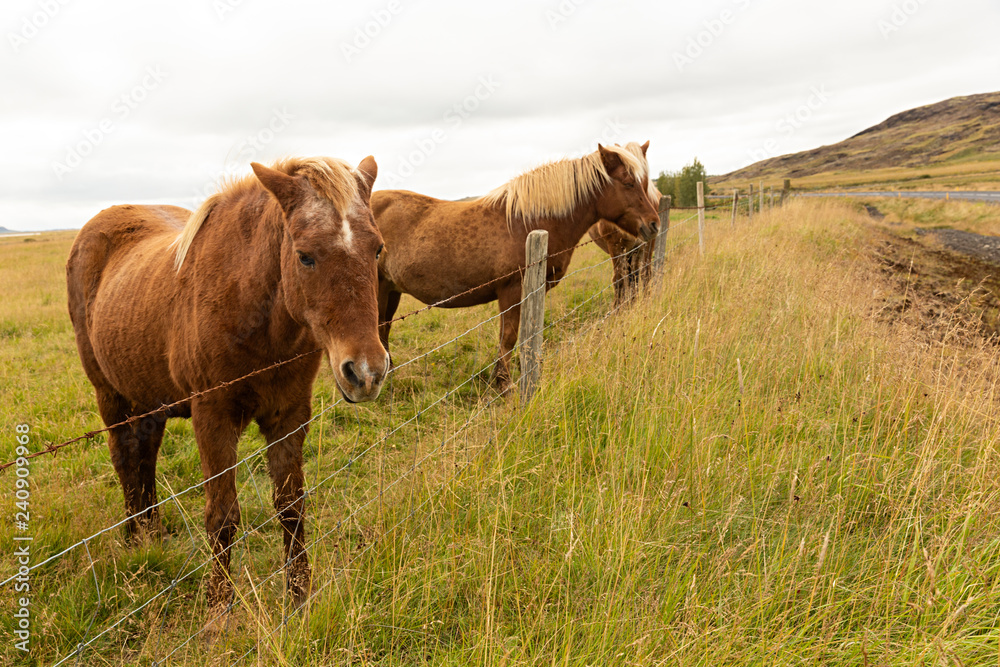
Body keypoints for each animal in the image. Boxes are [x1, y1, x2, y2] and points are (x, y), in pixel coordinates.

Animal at [66, 156, 389, 613]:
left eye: (376, 248)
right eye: (305, 256)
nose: (366, 372)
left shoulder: (289, 417)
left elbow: (291, 506)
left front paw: (299, 597)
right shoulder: (213, 420)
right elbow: (221, 517)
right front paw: (219, 607)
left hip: (150, 400)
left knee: (145, 458)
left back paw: (152, 533)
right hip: (110, 396)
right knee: (124, 459)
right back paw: (133, 538)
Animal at [373, 141, 659, 391]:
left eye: (645, 183)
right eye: (629, 183)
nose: (654, 224)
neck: (528, 222)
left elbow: (523, 334)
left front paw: (522, 370)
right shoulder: (511, 291)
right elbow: (509, 337)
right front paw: (504, 384)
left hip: (392, 290)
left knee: (384, 328)